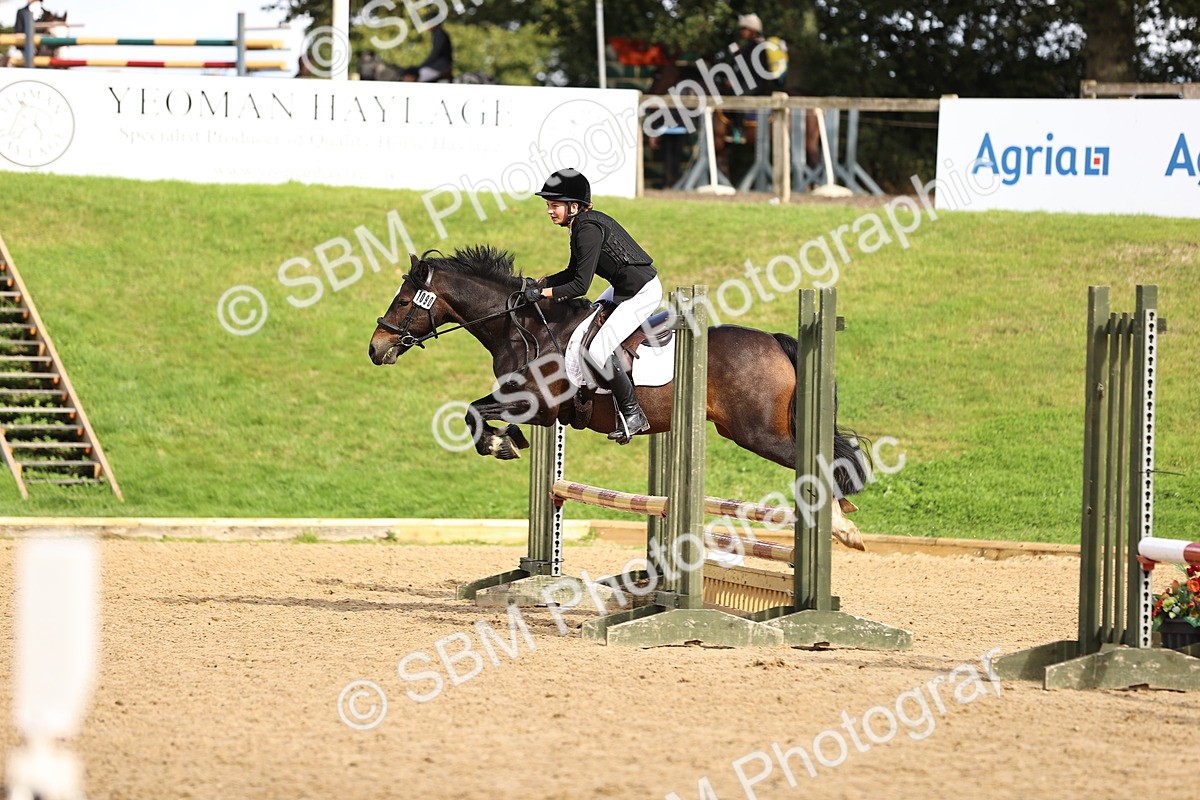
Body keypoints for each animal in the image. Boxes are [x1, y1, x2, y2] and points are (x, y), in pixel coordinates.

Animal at [368, 247, 871, 499]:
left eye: (403, 301)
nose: (375, 349)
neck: (524, 327)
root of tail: (774, 341)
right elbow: (477, 413)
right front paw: (509, 441)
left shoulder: (537, 405)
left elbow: (473, 413)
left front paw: (500, 444)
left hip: (759, 433)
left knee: (824, 464)